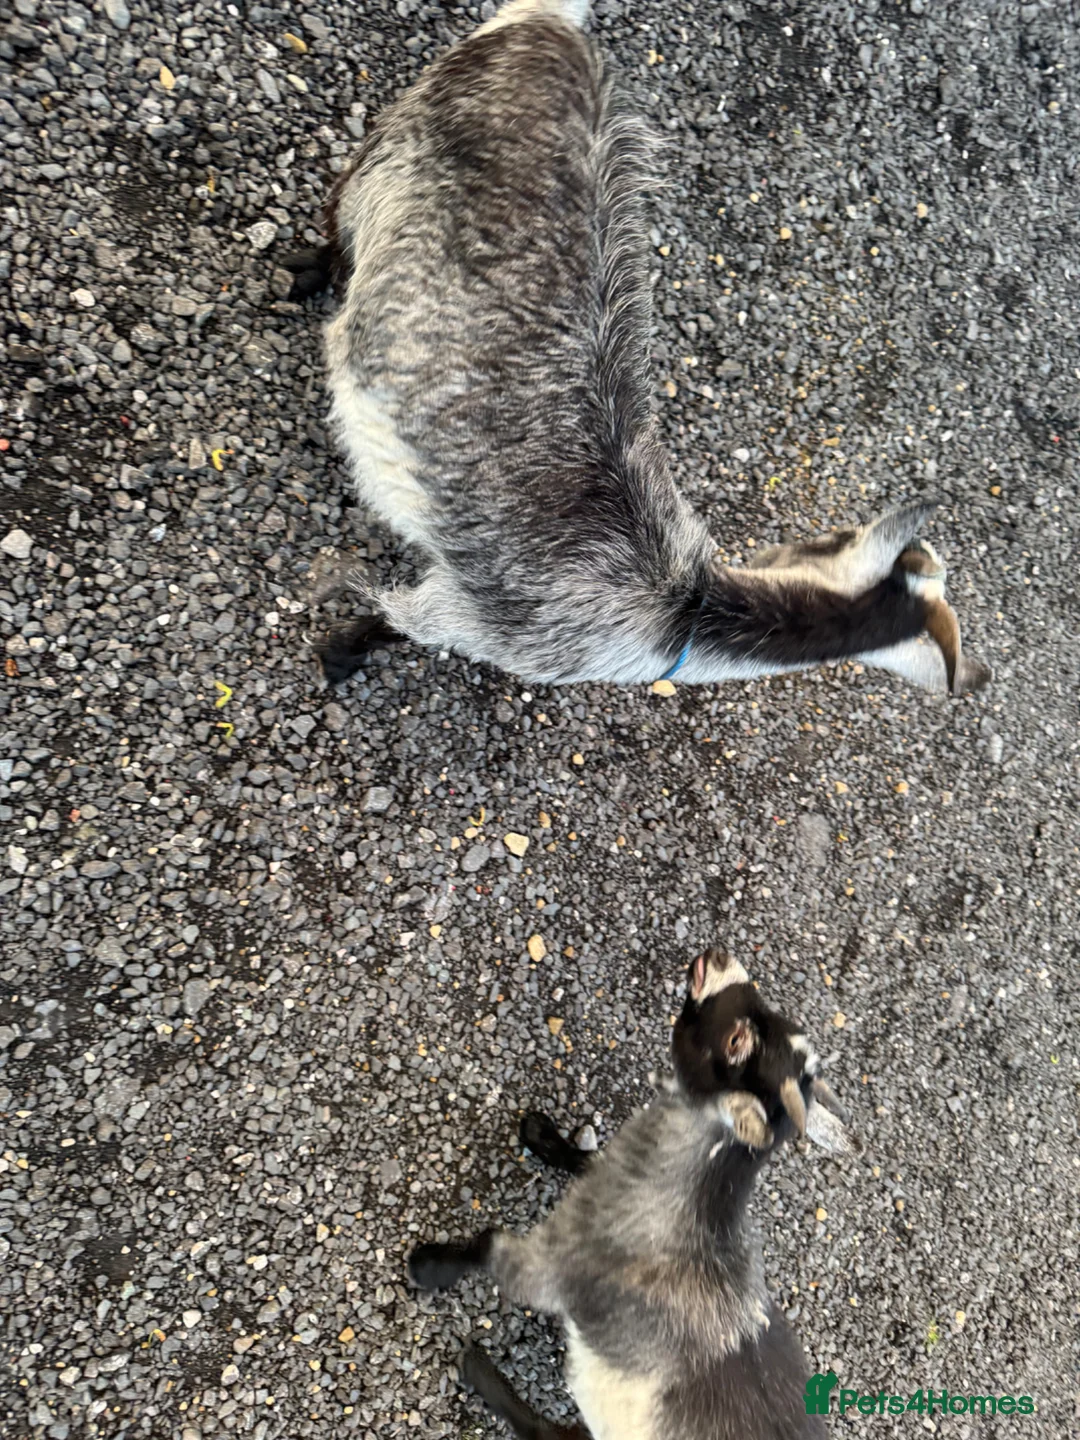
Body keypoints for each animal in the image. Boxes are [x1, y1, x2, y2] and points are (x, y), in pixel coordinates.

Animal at [294, 0, 990, 698]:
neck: (685, 613)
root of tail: (553, 23)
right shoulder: (480, 621)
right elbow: (394, 620)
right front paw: (339, 652)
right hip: (405, 139)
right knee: (344, 200)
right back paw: (312, 273)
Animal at [408, 947, 858, 1439]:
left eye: (735, 1040)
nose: (719, 955)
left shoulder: (551, 1265)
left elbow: (489, 1244)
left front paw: (429, 1264)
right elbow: (587, 1160)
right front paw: (543, 1135)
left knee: (544, 1431)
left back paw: (478, 1370)